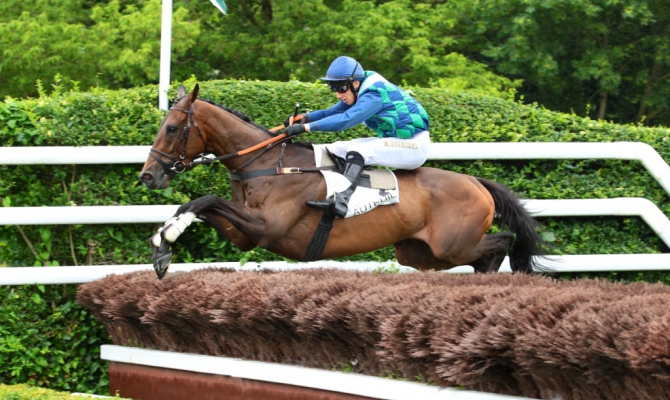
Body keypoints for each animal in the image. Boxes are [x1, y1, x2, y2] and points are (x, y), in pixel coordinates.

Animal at [139, 83, 548, 278]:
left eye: (172, 128)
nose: (148, 175)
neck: (266, 163)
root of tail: (477, 182)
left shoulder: (266, 227)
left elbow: (205, 200)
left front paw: (165, 240)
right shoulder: (246, 235)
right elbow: (197, 204)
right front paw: (163, 243)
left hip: (452, 245)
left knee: (503, 241)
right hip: (419, 253)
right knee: (486, 253)